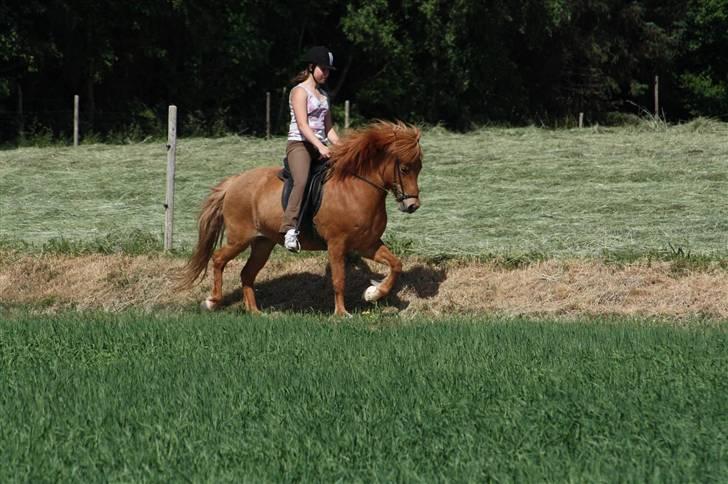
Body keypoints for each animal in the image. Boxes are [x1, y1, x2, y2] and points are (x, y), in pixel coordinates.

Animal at [178, 121, 424, 316]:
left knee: (247, 273)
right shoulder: (337, 244)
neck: (356, 188)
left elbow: (396, 264)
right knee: (218, 259)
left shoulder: (367, 244)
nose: (412, 205)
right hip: (240, 238)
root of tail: (234, 182)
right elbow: (339, 280)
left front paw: (373, 293)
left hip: (262, 243)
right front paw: (341, 314)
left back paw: (255, 312)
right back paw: (212, 302)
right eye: (404, 168)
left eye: (419, 168)